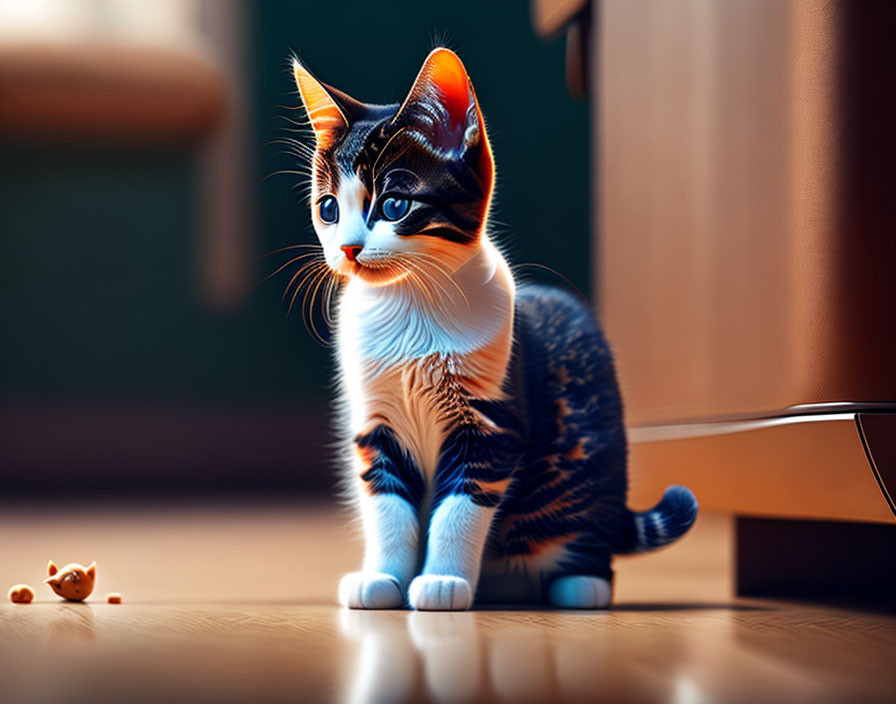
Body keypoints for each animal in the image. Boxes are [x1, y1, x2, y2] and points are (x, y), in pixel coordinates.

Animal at [290, 49, 696, 612]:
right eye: (328, 208)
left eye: (394, 205)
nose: (348, 248)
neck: (409, 308)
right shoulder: (376, 420)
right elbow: (387, 507)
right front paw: (383, 578)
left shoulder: (489, 424)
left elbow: (459, 510)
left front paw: (442, 581)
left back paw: (580, 584)